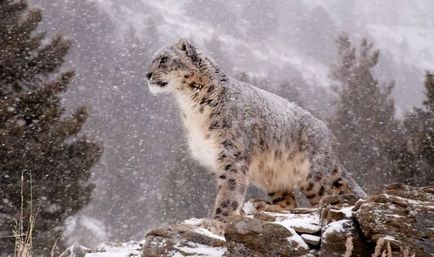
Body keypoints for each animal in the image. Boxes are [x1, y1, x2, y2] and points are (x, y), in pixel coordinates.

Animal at [146, 39, 366, 221]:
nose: (146, 74)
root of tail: (324, 133)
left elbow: (230, 189)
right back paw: (263, 206)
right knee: (289, 200)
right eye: (153, 59)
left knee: (327, 195)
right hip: (273, 176)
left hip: (313, 175)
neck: (190, 106)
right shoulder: (216, 156)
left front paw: (219, 220)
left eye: (164, 59)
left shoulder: (232, 152)